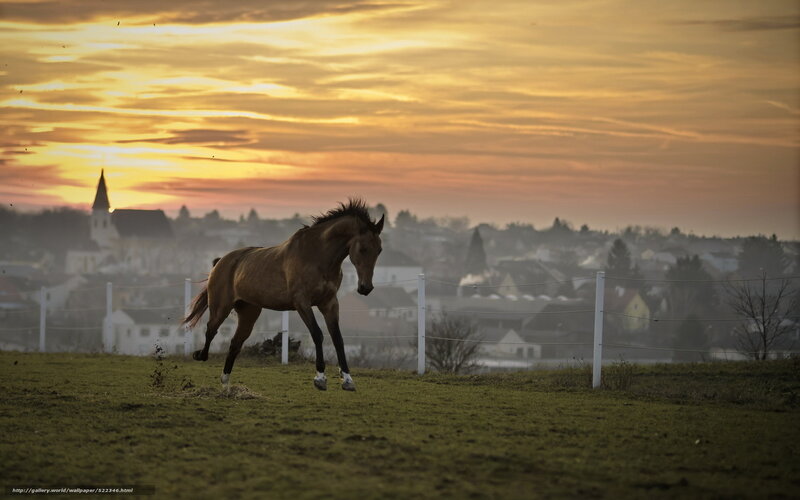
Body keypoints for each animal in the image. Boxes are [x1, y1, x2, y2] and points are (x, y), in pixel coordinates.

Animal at [182, 199, 384, 391]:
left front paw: (348, 380)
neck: (317, 256)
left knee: (235, 343)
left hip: (249, 313)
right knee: (211, 330)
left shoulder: (329, 303)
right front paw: (320, 378)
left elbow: (338, 339)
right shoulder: (302, 302)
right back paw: (200, 355)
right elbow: (317, 334)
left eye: (379, 250)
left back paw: (225, 385)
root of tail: (220, 262)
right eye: (363, 248)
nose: (365, 288)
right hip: (221, 307)